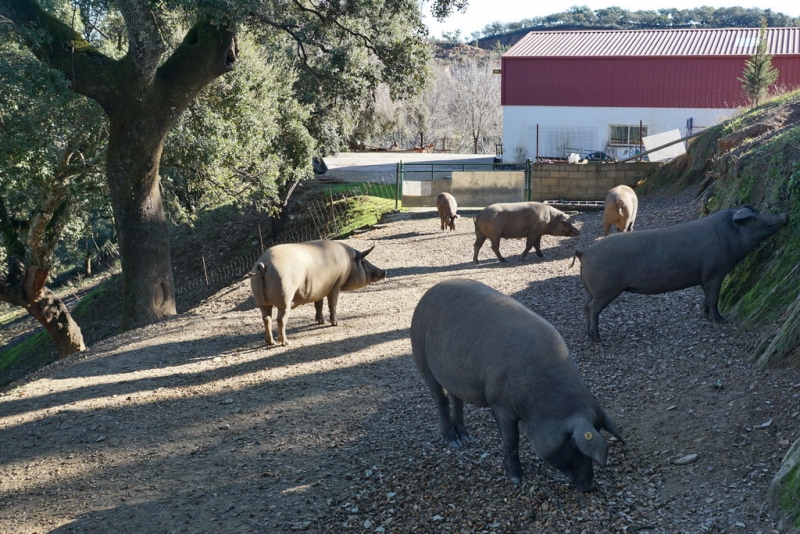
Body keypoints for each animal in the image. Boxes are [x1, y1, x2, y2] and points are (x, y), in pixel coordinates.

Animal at [252, 242, 386, 348]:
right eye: (364, 261)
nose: (384, 271)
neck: (349, 263)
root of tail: (263, 265)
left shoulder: (320, 289)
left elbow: (319, 304)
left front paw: (321, 322)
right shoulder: (336, 285)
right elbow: (332, 304)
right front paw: (335, 324)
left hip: (261, 302)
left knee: (266, 319)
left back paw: (271, 342)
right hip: (284, 298)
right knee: (280, 320)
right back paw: (286, 343)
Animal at [412, 278, 624, 492]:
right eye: (574, 446)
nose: (589, 487)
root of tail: (428, 293)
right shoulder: (501, 404)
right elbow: (511, 440)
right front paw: (516, 479)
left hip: (452, 375)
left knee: (457, 399)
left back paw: (466, 439)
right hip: (420, 353)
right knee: (440, 398)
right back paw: (453, 442)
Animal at [576, 207, 788, 342]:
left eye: (757, 212)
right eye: (751, 219)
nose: (784, 215)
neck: (728, 235)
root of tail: (584, 252)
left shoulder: (704, 276)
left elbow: (706, 297)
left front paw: (705, 315)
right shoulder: (715, 272)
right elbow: (714, 298)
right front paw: (721, 320)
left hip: (591, 291)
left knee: (585, 306)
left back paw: (588, 335)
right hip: (606, 290)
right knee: (593, 308)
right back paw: (597, 339)